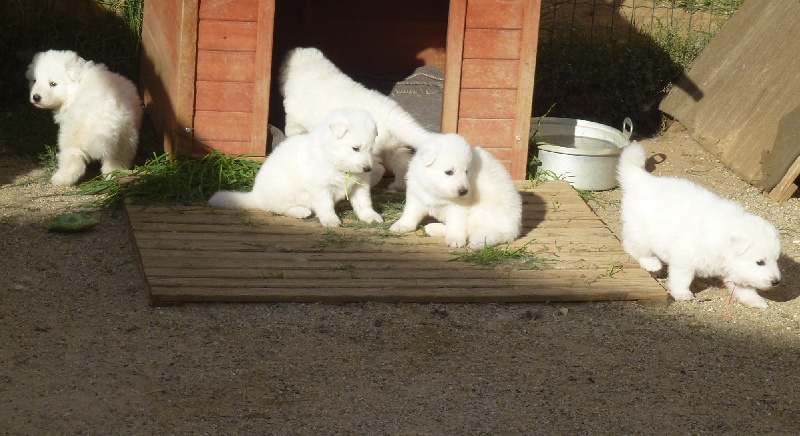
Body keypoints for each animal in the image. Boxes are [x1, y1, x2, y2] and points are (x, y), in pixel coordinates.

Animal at [26, 49, 142, 186]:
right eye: (34, 80)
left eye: (53, 84)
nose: (36, 97)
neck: (75, 86)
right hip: (124, 142)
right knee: (114, 164)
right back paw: (113, 177)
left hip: (70, 138)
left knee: (74, 162)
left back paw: (60, 179)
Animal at [206, 108, 382, 228]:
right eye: (355, 148)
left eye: (370, 149)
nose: (368, 169)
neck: (334, 160)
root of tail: (256, 195)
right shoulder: (320, 188)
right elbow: (326, 205)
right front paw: (330, 220)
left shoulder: (359, 185)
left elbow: (364, 203)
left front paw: (371, 216)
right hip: (283, 190)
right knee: (279, 208)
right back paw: (300, 211)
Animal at [278, 46, 434, 192]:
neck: (309, 67)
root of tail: (391, 113)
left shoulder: (294, 116)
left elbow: (291, 128)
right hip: (395, 147)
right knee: (402, 164)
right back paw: (397, 187)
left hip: (369, 150)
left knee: (377, 169)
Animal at [390, 133, 524, 249]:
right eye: (449, 172)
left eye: (466, 171)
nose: (463, 191)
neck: (435, 189)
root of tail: (512, 231)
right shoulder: (417, 194)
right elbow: (410, 213)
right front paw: (402, 225)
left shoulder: (458, 207)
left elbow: (456, 224)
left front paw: (455, 239)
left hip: (480, 213)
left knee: (468, 230)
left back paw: (434, 228)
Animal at [620, 141, 780, 308]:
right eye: (760, 262)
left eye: (775, 259)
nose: (776, 282)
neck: (722, 239)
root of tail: (643, 180)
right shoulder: (684, 257)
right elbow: (681, 278)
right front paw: (682, 293)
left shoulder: (733, 269)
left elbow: (744, 288)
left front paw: (756, 300)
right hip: (641, 232)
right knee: (633, 247)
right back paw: (652, 263)